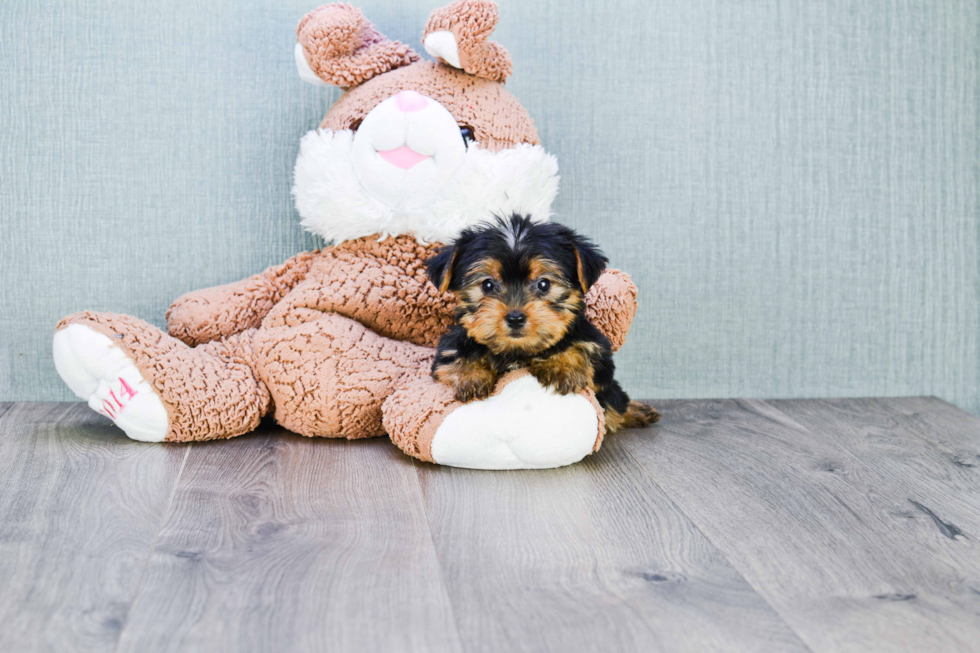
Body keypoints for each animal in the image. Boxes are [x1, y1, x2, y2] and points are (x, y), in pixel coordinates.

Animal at [424, 214, 660, 432]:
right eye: (487, 285)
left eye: (544, 284)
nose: (515, 317)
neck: (518, 352)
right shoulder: (448, 350)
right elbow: (455, 358)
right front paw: (472, 377)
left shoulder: (599, 356)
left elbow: (581, 347)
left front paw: (562, 366)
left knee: (615, 401)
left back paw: (637, 411)